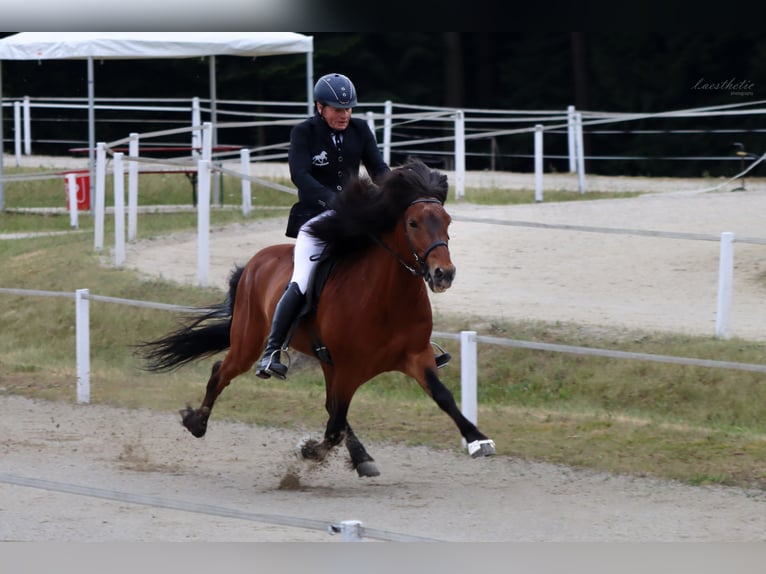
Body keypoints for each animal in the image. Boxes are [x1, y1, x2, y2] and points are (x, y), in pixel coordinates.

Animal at [140, 160, 498, 480]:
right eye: (413, 223)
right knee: (222, 371)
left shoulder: (415, 356)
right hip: (250, 340)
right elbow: (335, 424)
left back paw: (362, 458)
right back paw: (197, 423)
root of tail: (256, 261)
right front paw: (310, 451)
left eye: (447, 220)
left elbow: (443, 397)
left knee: (330, 408)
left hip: (325, 361)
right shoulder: (350, 368)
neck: (387, 299)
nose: (443, 274)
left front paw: (478, 440)